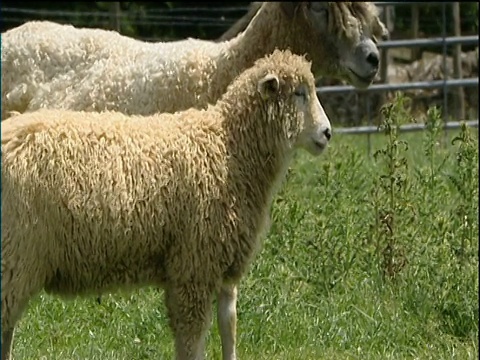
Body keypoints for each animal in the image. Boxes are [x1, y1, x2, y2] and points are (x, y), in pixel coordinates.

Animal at [0, 48, 330, 360]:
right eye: (299, 93)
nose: (327, 133)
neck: (228, 148)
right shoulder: (193, 265)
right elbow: (192, 340)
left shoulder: (223, 263)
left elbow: (229, 327)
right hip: (16, 253)